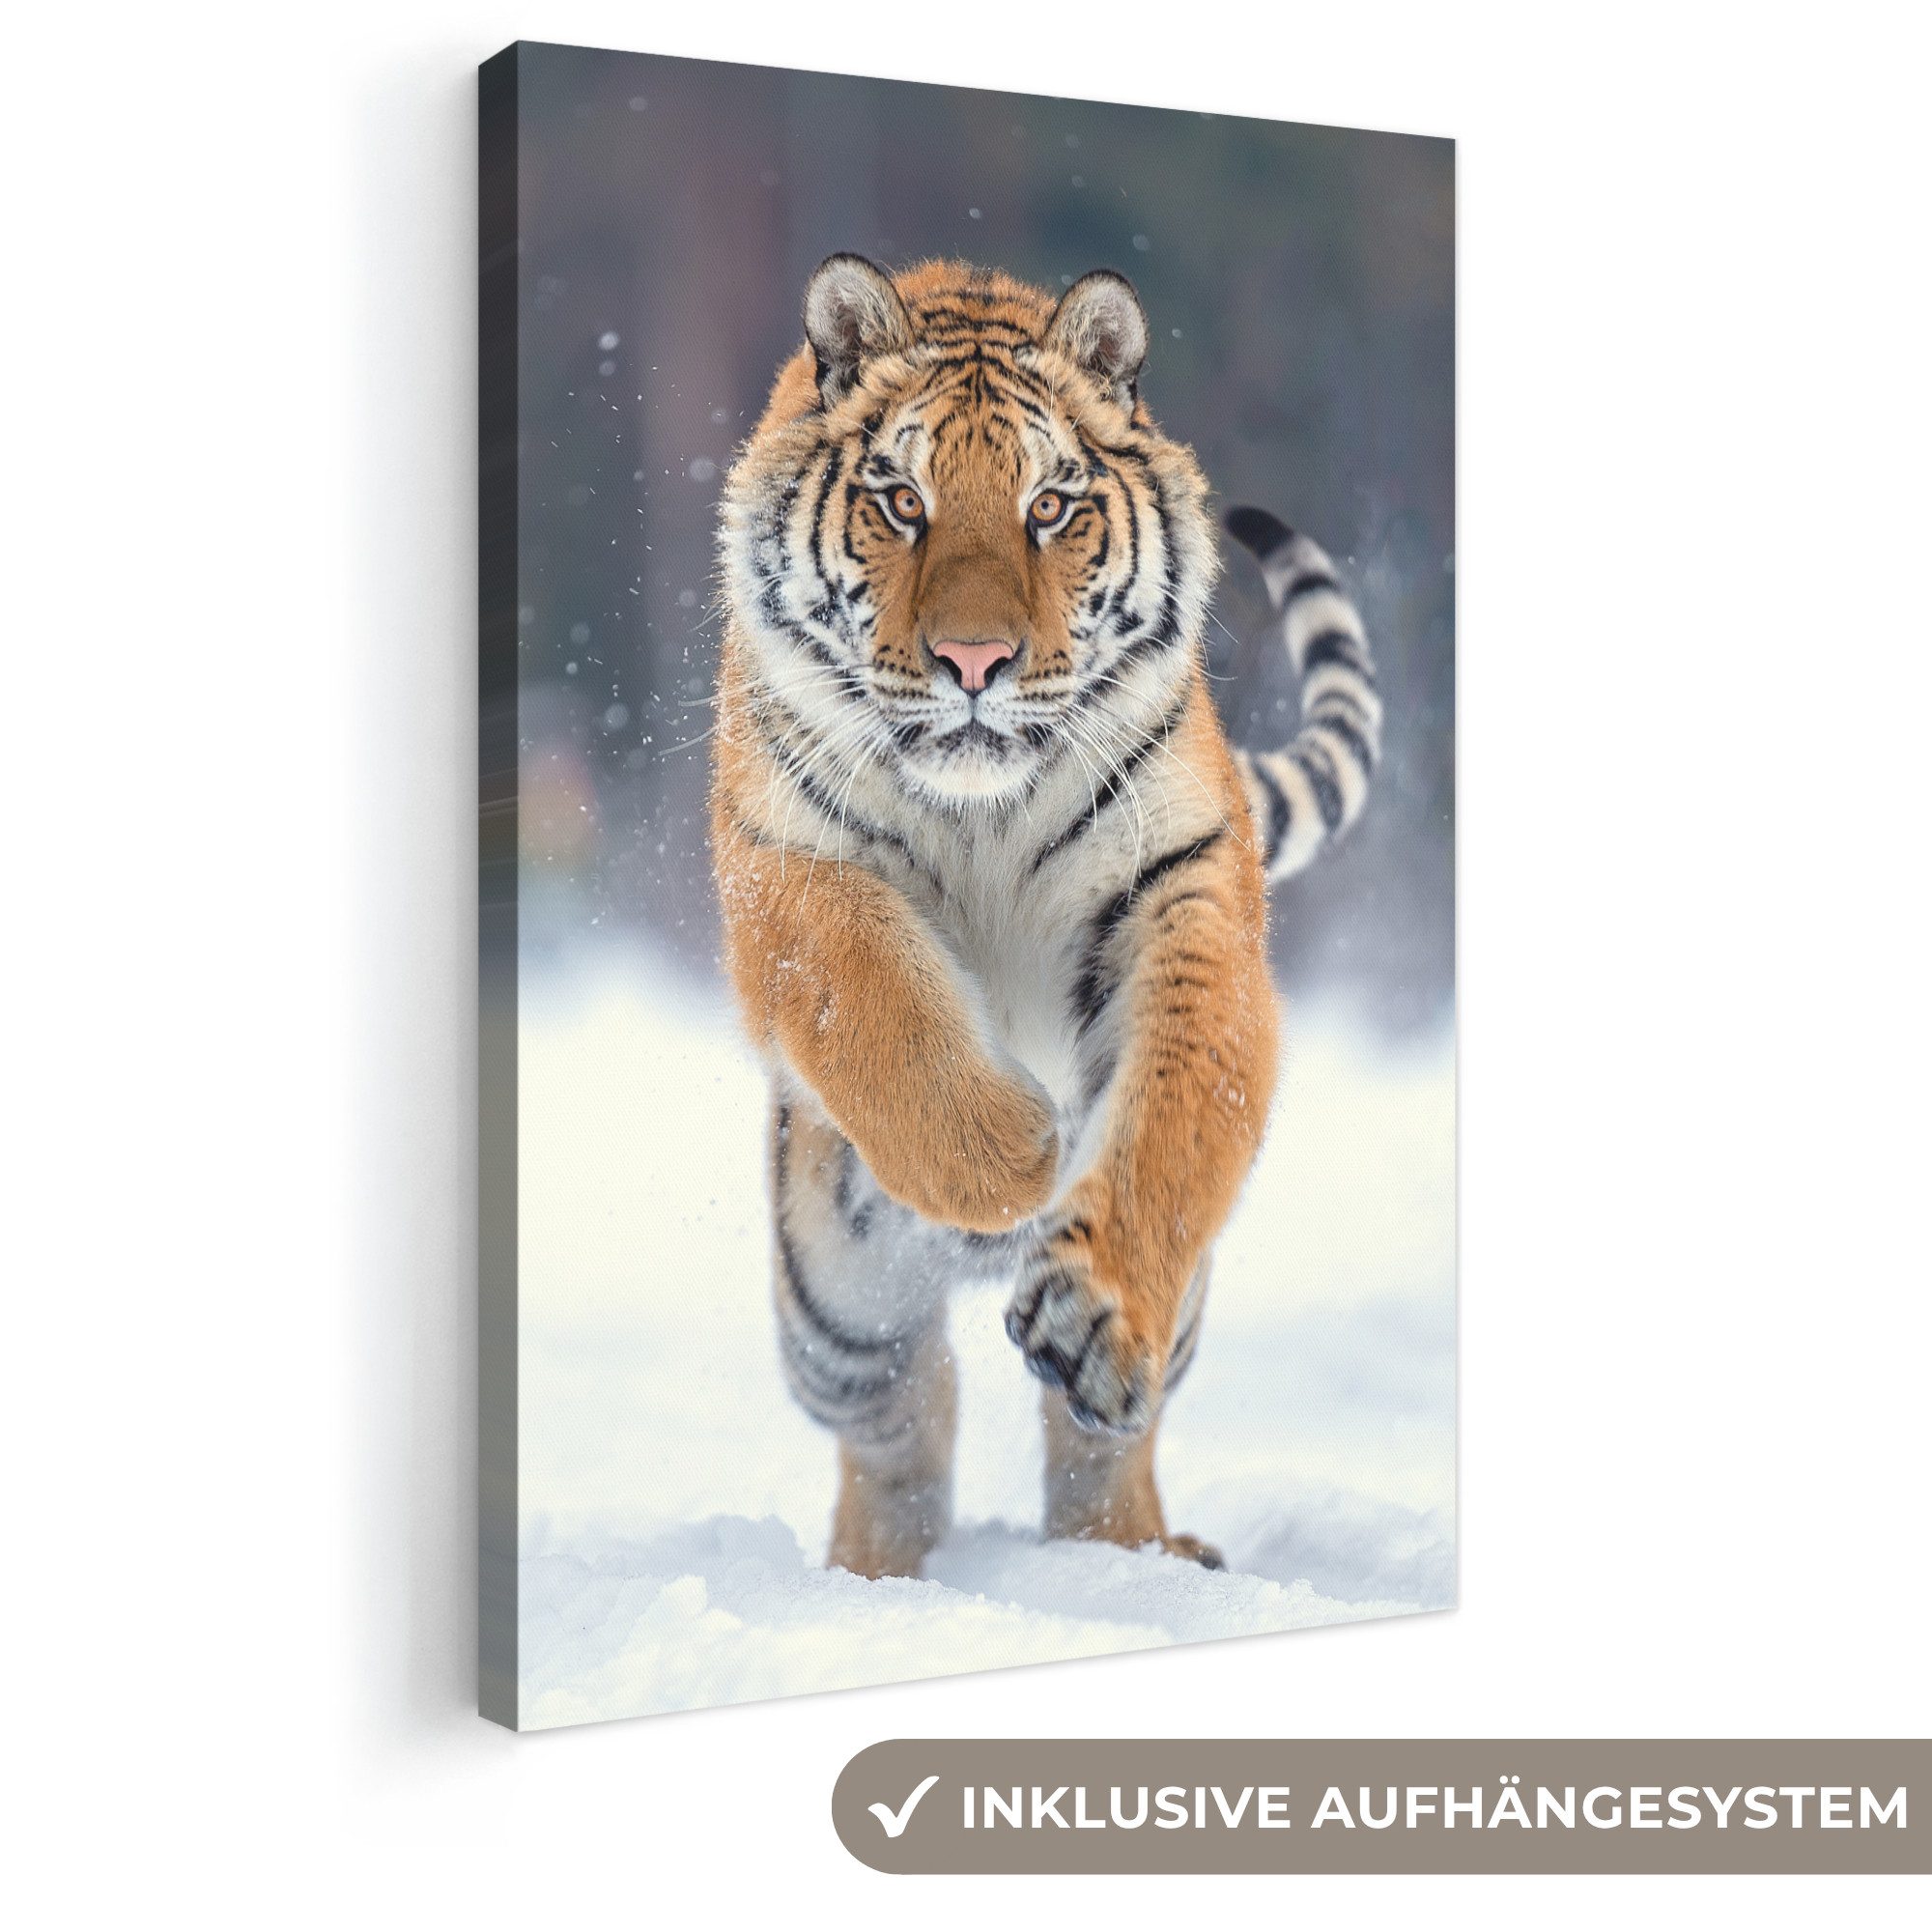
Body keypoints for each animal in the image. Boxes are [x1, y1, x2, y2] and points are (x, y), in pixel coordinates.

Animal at [710, 256, 1379, 1580]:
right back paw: (875, 1579)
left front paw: (1092, 1304)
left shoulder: (1183, 886)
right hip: (833, 1311)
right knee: (903, 1420)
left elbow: (1178, 1110)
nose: (975, 662)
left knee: (1095, 1442)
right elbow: (872, 999)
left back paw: (1129, 1555)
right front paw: (1011, 1150)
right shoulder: (781, 863)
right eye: (900, 501)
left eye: (1051, 506)